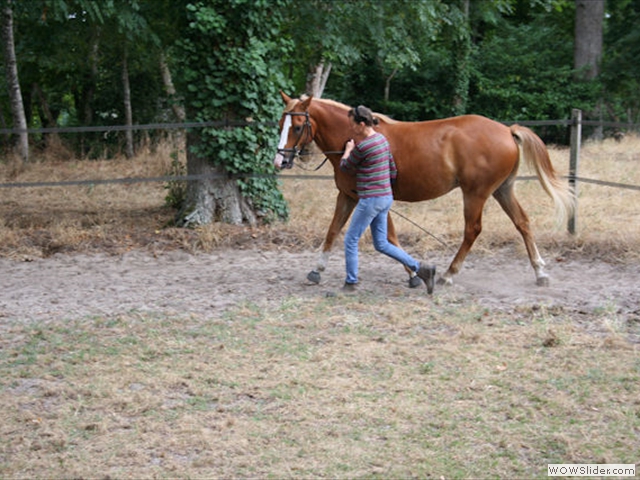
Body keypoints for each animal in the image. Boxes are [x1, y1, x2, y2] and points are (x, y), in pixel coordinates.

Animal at [272, 93, 572, 288]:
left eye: (297, 126)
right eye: (280, 124)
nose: (280, 161)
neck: (356, 138)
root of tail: (507, 130)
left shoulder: (376, 200)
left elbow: (390, 238)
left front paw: (414, 274)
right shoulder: (348, 196)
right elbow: (333, 231)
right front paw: (316, 270)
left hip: (475, 193)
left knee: (472, 230)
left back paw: (449, 274)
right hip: (502, 190)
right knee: (522, 223)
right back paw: (540, 272)